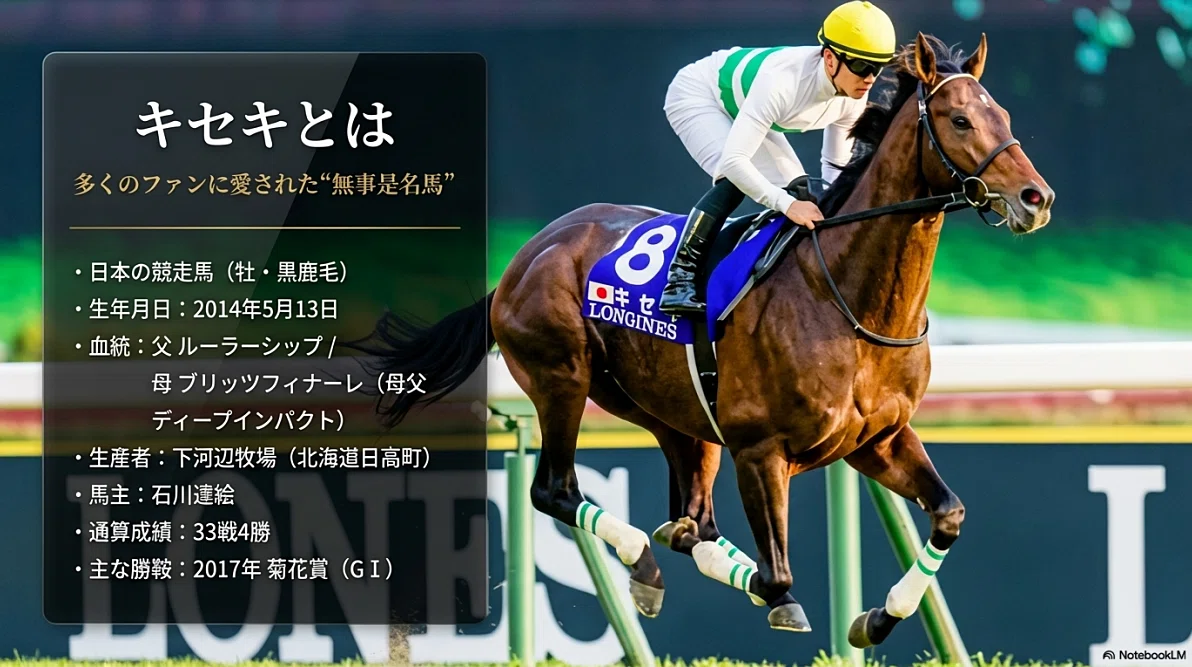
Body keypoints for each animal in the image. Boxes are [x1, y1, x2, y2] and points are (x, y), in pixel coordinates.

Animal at [344, 31, 1054, 650]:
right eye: (959, 121)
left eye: (1002, 114)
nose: (1036, 198)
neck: (846, 299)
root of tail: (524, 258)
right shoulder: (761, 450)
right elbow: (778, 576)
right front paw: (788, 602)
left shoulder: (876, 439)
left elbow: (948, 514)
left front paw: (877, 619)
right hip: (563, 378)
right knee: (559, 491)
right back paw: (641, 561)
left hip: (671, 410)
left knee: (689, 523)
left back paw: (662, 554)